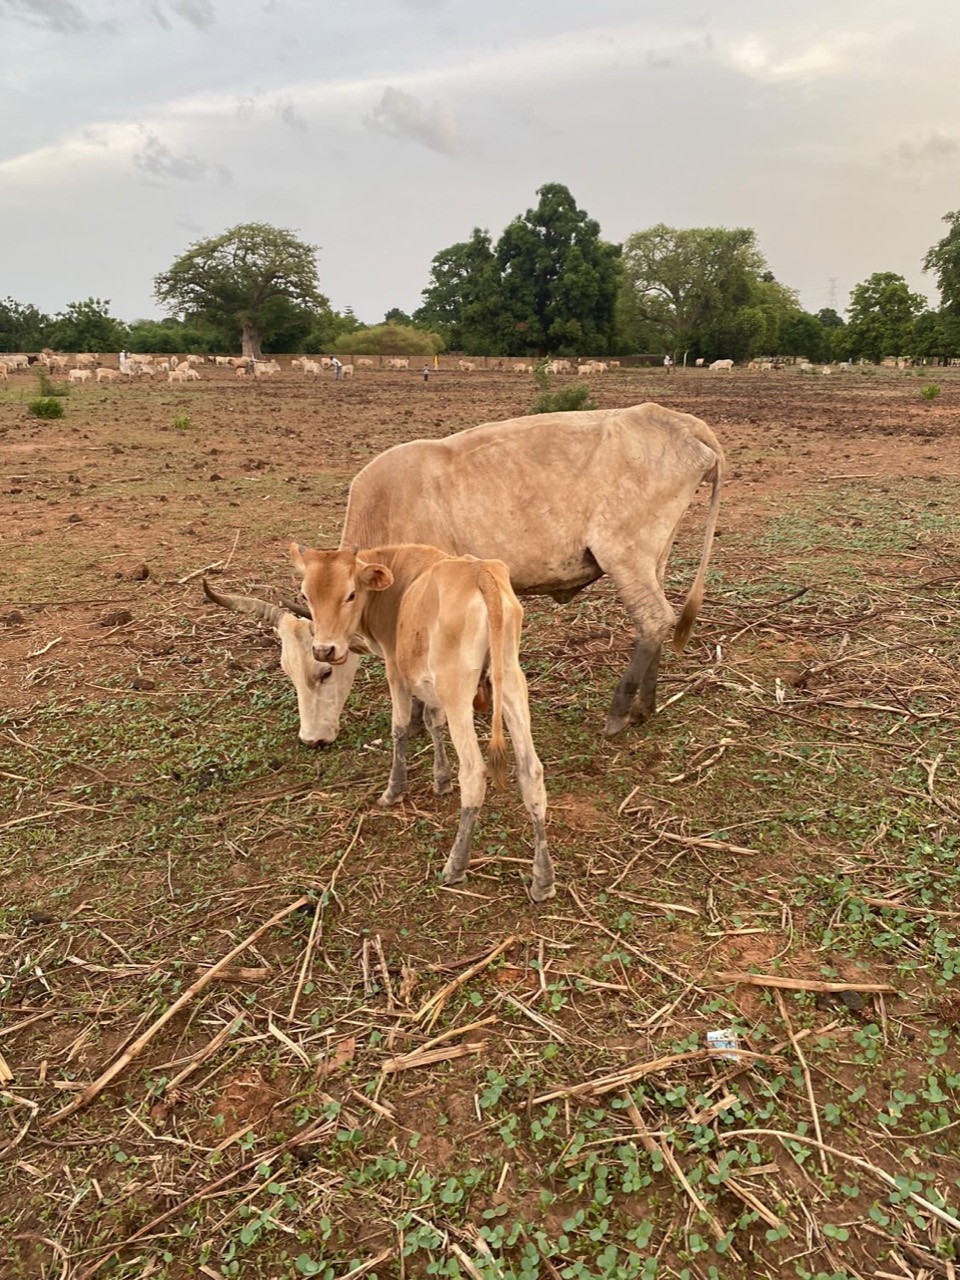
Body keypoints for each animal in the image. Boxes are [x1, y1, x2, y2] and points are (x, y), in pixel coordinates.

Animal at [291, 542, 555, 901]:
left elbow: (401, 728)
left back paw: (456, 864)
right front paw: (441, 779)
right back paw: (543, 878)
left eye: (350, 594)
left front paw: (394, 790)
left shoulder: (396, 669)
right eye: (306, 595)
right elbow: (433, 721)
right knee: (531, 771)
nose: (323, 649)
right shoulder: (428, 685)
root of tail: (480, 573)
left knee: (474, 773)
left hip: (457, 690)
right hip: (512, 682)